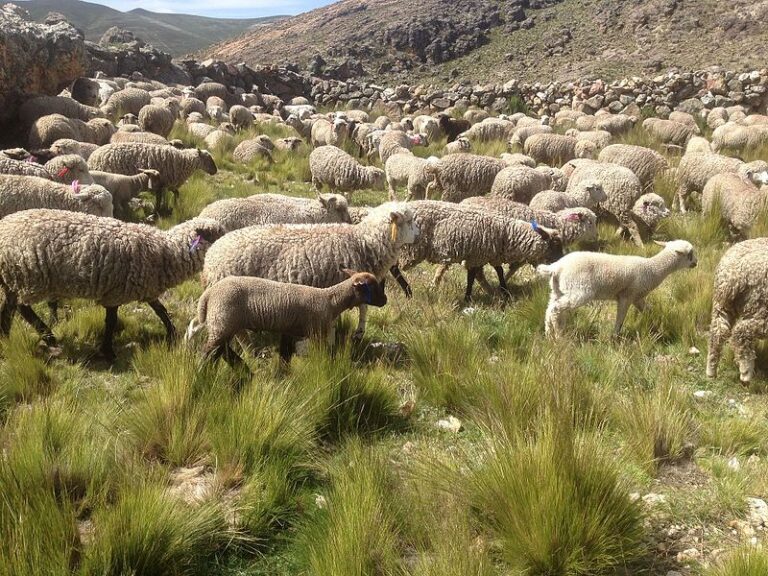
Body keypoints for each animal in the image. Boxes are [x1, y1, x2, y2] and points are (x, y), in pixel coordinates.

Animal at [0, 209, 225, 358]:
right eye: (219, 234)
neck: (164, 252)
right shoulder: (116, 292)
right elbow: (112, 321)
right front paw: (108, 351)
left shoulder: (146, 288)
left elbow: (161, 310)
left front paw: (172, 334)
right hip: (26, 276)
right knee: (22, 307)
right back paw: (48, 336)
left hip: (11, 279)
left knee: (8, 310)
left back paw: (6, 338)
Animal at [201, 204, 416, 336]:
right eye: (409, 221)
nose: (418, 235)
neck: (363, 241)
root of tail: (210, 255)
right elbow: (362, 307)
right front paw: (358, 332)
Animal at [540, 240, 696, 338]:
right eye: (690, 254)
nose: (696, 263)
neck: (652, 268)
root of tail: (556, 267)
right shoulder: (626, 296)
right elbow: (620, 318)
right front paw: (615, 336)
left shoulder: (637, 297)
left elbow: (648, 311)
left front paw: (657, 325)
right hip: (579, 291)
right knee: (555, 309)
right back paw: (559, 337)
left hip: (557, 289)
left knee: (549, 309)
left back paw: (549, 334)